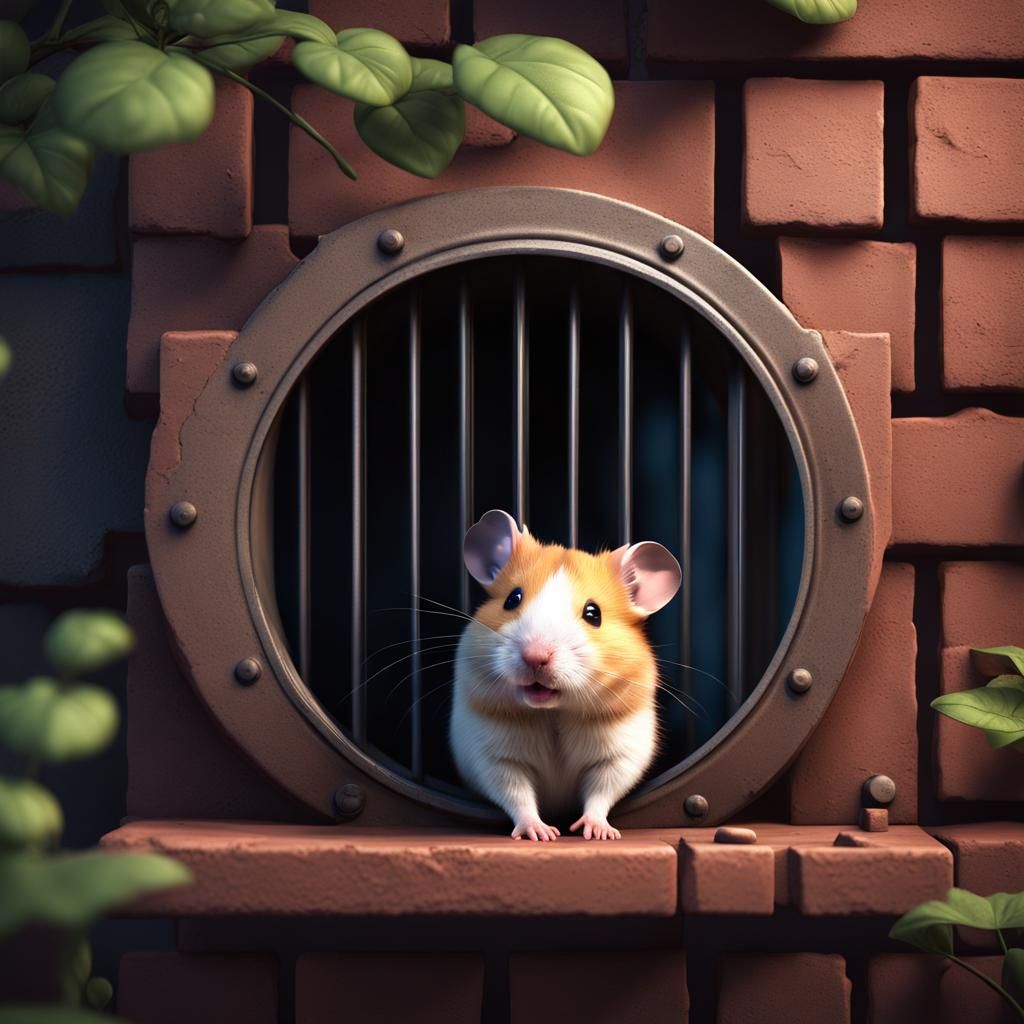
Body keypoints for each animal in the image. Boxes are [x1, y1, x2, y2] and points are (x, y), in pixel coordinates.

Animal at [450, 509, 682, 841]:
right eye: (512, 599)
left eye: (593, 614)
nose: (536, 656)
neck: (553, 711)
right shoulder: (493, 756)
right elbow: (516, 793)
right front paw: (542, 834)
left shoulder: (620, 756)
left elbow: (601, 792)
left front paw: (597, 833)